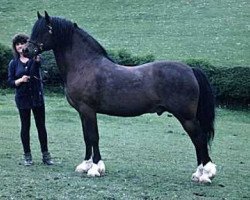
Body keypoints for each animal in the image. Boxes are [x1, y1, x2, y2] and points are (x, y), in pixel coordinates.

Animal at [23, 10, 217, 183]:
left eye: (45, 30)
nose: (25, 50)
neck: (85, 65)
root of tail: (190, 69)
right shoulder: (81, 112)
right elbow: (86, 137)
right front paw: (85, 165)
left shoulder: (88, 110)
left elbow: (94, 136)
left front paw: (95, 169)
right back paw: (199, 174)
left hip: (186, 118)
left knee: (199, 139)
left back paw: (205, 174)